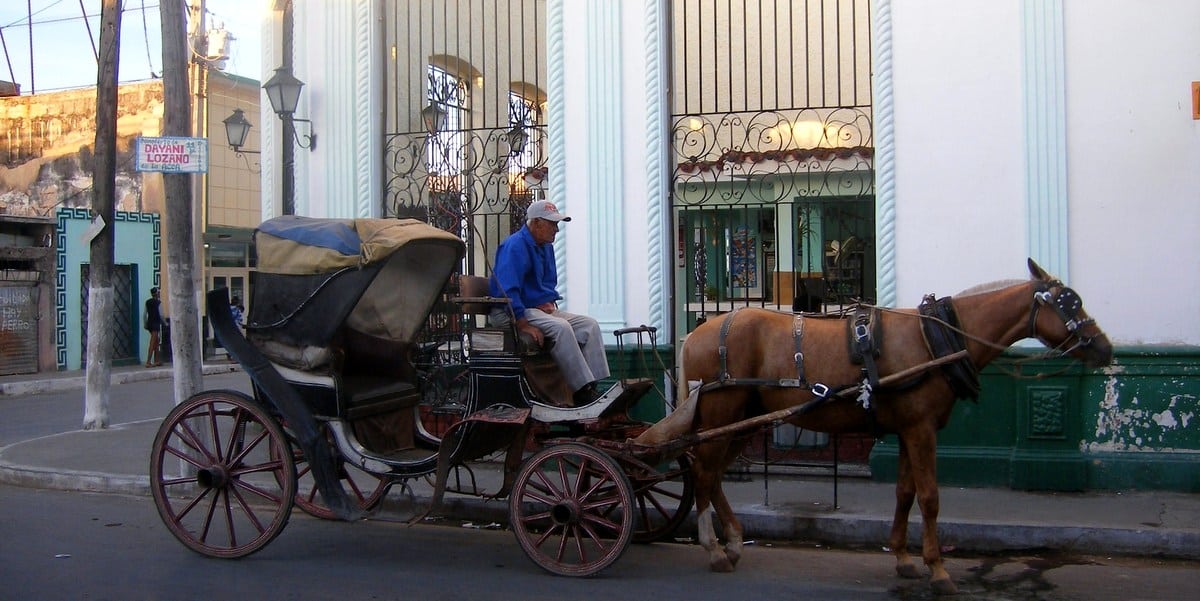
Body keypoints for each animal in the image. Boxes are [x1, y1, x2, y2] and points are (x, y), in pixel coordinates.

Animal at [672, 256, 1108, 590]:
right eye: (1070, 304)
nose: (1104, 347)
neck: (935, 340)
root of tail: (695, 334)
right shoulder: (920, 429)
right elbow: (929, 497)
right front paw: (938, 569)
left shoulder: (907, 430)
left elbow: (904, 493)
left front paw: (903, 557)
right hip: (723, 414)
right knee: (704, 471)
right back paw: (714, 547)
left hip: (742, 422)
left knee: (713, 474)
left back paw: (733, 543)